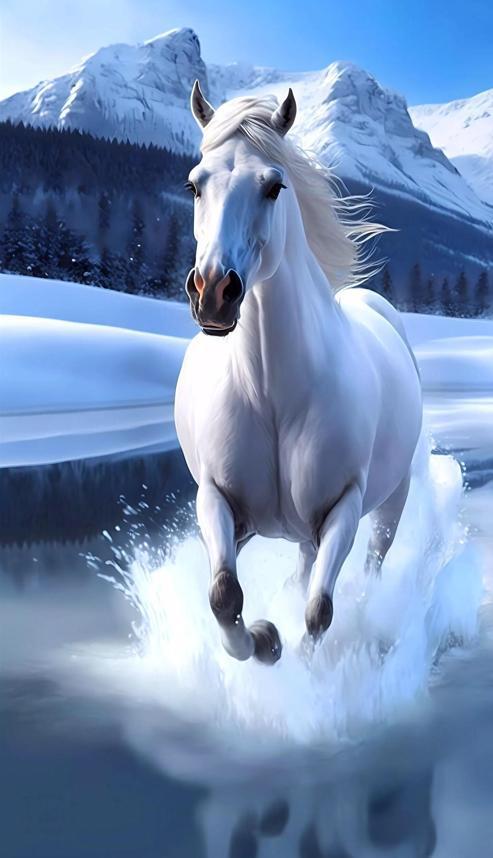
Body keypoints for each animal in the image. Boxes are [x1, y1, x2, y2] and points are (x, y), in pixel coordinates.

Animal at [174, 81, 422, 665]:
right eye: (194, 184)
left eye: (273, 186)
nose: (214, 292)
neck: (272, 396)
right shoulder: (216, 499)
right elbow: (224, 595)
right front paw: (264, 639)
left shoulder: (342, 508)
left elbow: (318, 611)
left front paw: (296, 660)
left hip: (389, 503)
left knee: (368, 566)